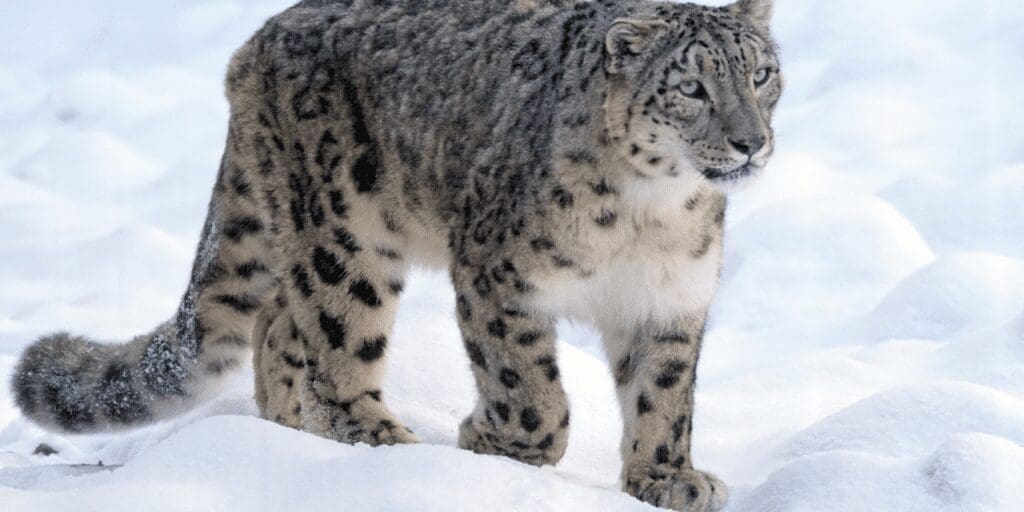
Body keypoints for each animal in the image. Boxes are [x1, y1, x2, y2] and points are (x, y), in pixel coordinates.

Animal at [11, 1, 782, 510]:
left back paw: (292, 435)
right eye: (692, 87)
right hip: (344, 236)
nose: (751, 141)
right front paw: (492, 442)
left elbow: (664, 394)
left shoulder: (671, 298)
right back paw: (382, 447)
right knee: (332, 343)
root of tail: (254, 45)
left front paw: (667, 477)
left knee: (277, 326)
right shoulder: (498, 277)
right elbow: (530, 392)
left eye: (763, 74)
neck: (653, 213)